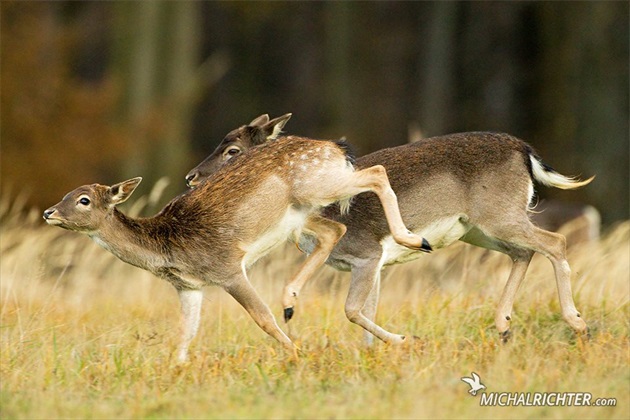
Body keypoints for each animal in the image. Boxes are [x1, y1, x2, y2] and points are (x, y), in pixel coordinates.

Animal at [43, 135, 430, 360]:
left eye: (83, 200)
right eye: (66, 194)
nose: (48, 212)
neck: (167, 248)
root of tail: (336, 147)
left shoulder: (227, 268)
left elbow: (262, 317)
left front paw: (296, 354)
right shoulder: (189, 287)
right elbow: (185, 332)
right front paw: (177, 369)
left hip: (318, 185)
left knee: (376, 172)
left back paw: (415, 240)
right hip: (302, 213)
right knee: (335, 228)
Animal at [186, 114, 592, 342]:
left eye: (232, 151)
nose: (192, 178)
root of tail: (525, 151)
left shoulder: (367, 252)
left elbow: (352, 310)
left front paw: (401, 342)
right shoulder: (374, 263)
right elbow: (368, 310)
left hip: (500, 214)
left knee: (554, 242)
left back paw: (578, 323)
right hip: (479, 229)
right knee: (524, 252)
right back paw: (504, 325)